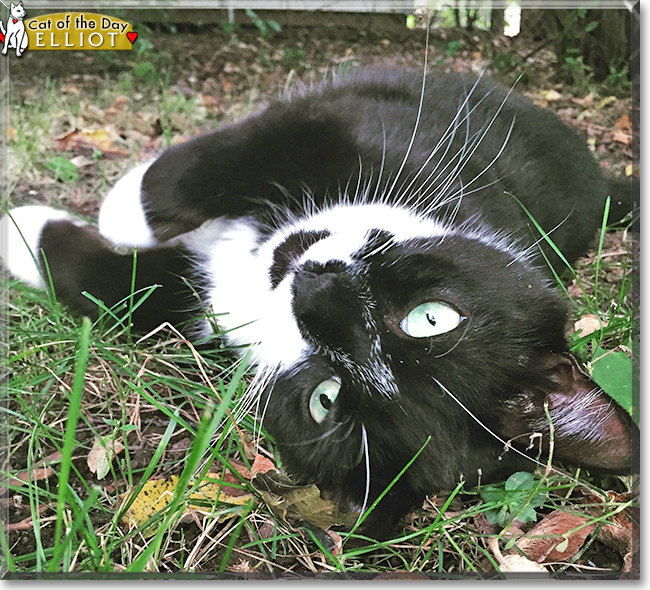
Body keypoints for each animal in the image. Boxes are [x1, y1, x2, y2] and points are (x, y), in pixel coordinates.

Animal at [2, 69, 636, 540]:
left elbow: (129, 294)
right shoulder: (359, 127)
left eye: (323, 399)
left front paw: (22, 229)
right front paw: (108, 207)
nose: (312, 292)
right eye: (432, 317)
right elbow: (237, 154)